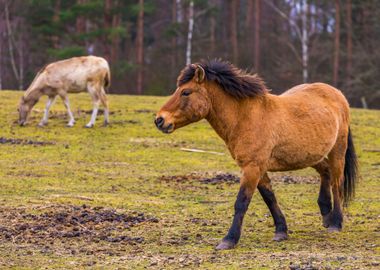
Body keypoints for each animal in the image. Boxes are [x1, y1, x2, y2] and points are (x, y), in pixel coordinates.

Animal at [154, 60, 356, 250]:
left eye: (186, 92)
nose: (159, 120)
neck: (245, 118)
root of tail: (336, 93)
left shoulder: (252, 167)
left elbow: (242, 202)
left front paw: (229, 240)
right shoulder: (258, 168)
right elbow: (269, 198)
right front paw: (281, 231)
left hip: (337, 151)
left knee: (337, 182)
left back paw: (336, 223)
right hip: (311, 155)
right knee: (326, 172)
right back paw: (326, 214)